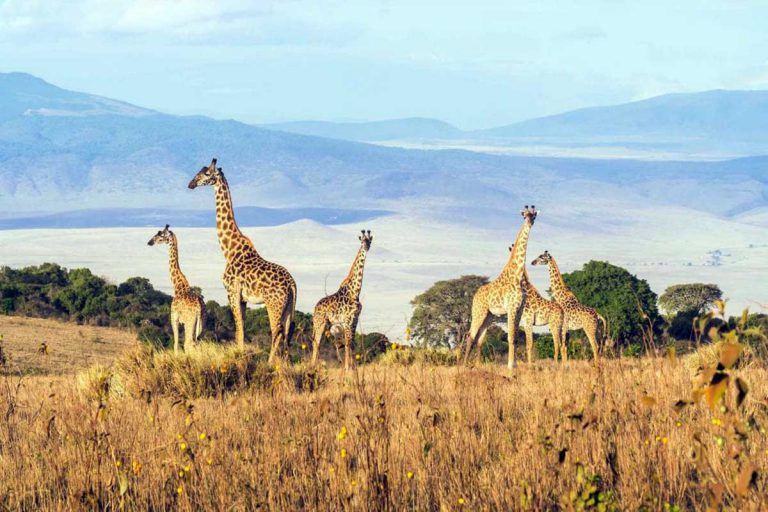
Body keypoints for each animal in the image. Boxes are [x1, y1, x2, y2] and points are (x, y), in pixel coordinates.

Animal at [147, 226, 206, 354]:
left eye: (160, 235)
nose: (150, 242)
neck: (178, 285)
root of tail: (199, 309)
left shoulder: (174, 317)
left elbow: (175, 343)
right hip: (201, 324)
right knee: (197, 343)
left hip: (190, 322)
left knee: (189, 343)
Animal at [188, 158, 296, 362]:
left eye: (206, 174)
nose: (191, 184)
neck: (229, 250)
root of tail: (292, 284)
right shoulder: (243, 298)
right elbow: (243, 330)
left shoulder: (231, 292)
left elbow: (238, 331)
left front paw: (239, 356)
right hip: (288, 307)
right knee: (287, 332)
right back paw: (285, 363)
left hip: (273, 304)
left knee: (276, 331)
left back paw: (270, 363)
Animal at [310, 230, 374, 370]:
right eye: (362, 241)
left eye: (370, 241)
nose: (366, 247)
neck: (355, 291)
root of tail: (315, 308)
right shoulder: (347, 321)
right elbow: (348, 344)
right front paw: (347, 368)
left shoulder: (354, 320)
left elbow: (351, 344)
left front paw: (353, 368)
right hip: (320, 323)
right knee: (316, 342)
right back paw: (312, 366)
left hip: (328, 324)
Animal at [464, 204, 536, 368]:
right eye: (524, 215)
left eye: (534, 215)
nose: (529, 222)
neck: (517, 275)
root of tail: (475, 295)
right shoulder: (511, 307)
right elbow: (510, 337)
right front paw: (510, 366)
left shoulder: (519, 309)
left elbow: (515, 337)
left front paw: (514, 365)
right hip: (478, 312)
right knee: (470, 336)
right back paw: (462, 365)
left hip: (489, 316)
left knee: (479, 339)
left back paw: (478, 366)